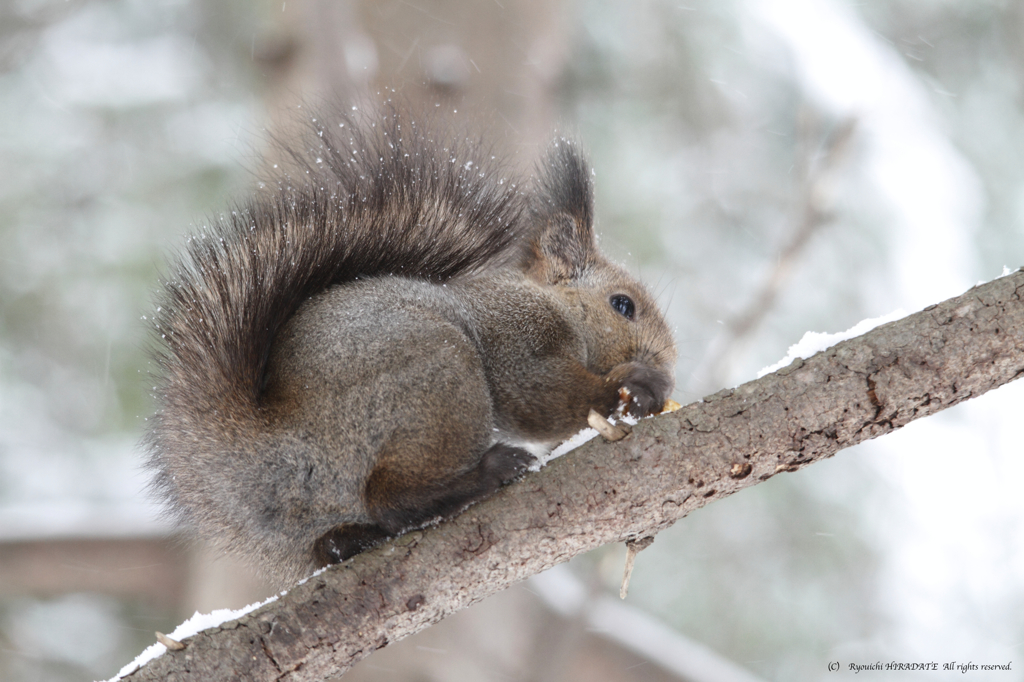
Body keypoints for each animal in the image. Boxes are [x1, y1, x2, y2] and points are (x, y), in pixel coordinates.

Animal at [142, 109, 671, 581]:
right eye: (623, 305)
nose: (666, 362)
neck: (553, 303)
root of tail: (264, 453)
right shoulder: (516, 335)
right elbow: (539, 396)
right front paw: (635, 385)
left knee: (339, 538)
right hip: (437, 375)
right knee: (390, 499)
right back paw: (488, 471)